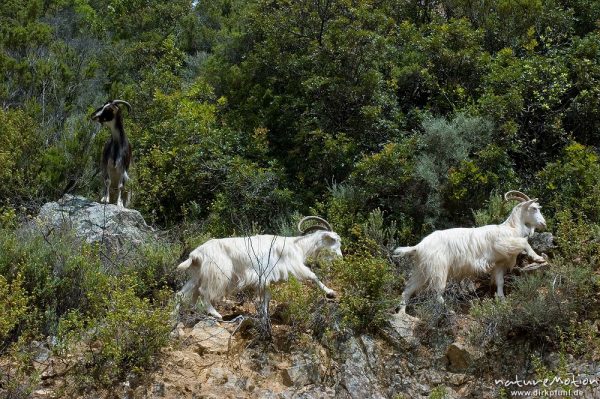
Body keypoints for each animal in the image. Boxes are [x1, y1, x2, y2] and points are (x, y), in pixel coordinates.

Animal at [394, 192, 548, 314]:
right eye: (534, 208)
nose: (544, 224)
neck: (511, 228)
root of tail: (419, 246)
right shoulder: (504, 244)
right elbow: (525, 243)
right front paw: (538, 258)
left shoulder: (499, 262)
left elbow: (500, 281)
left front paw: (502, 300)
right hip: (439, 268)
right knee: (437, 292)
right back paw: (449, 310)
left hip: (422, 270)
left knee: (408, 290)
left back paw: (402, 313)